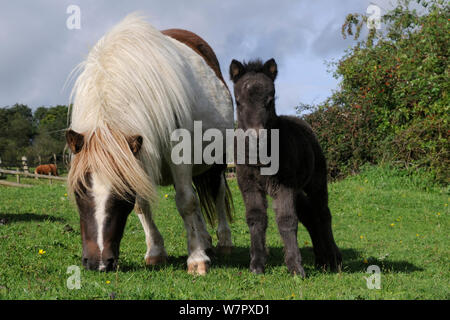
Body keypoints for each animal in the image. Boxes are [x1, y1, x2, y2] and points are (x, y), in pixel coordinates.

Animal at [67, 15, 236, 274]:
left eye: (122, 193)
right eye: (78, 192)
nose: (98, 263)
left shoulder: (178, 154)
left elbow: (186, 202)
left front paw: (196, 259)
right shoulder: (138, 160)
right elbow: (143, 205)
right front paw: (156, 252)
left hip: (217, 159)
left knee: (216, 192)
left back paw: (224, 241)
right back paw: (205, 241)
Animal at [230, 58, 342, 276]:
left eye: (270, 100)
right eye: (238, 101)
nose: (256, 137)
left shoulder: (284, 187)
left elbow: (287, 220)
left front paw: (296, 267)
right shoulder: (249, 186)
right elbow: (256, 219)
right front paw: (257, 265)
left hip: (316, 182)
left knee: (323, 213)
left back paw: (333, 260)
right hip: (298, 190)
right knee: (310, 216)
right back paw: (321, 260)